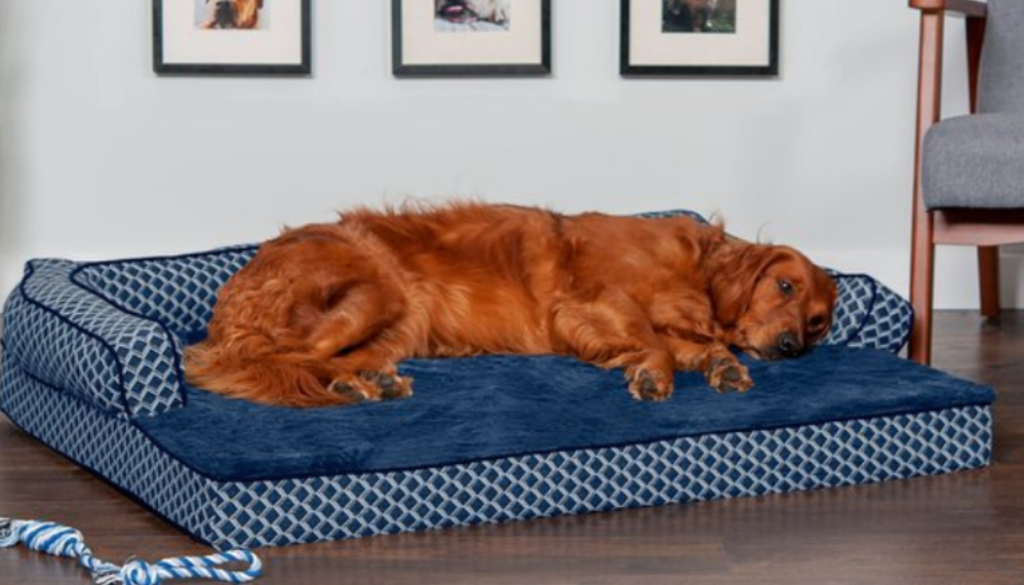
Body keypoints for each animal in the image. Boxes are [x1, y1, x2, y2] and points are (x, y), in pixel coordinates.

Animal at [184, 203, 835, 409]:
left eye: (818, 322)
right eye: (784, 287)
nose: (791, 347)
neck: (699, 271)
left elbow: (696, 344)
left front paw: (724, 364)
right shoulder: (591, 301)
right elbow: (656, 342)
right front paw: (655, 374)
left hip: (399, 321)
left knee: (316, 362)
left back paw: (372, 380)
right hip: (376, 290)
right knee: (273, 359)